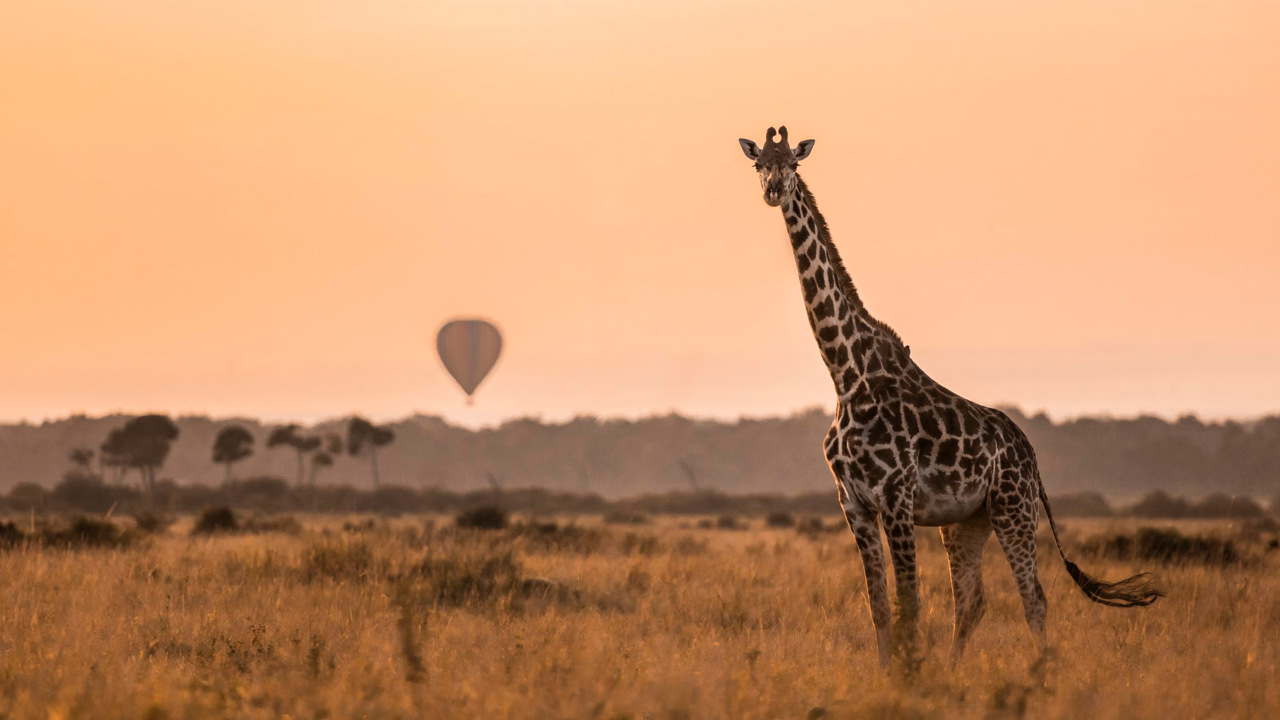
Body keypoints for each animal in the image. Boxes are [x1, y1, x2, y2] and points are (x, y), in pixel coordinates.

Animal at [738, 126, 1162, 669]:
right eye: (759, 165)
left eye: (792, 162)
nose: (774, 190)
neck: (846, 376)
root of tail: (1032, 456)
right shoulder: (853, 504)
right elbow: (879, 607)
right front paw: (888, 676)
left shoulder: (896, 497)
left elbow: (909, 605)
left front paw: (907, 678)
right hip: (965, 522)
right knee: (972, 600)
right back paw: (954, 672)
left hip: (1012, 509)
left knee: (1034, 597)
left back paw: (1038, 676)